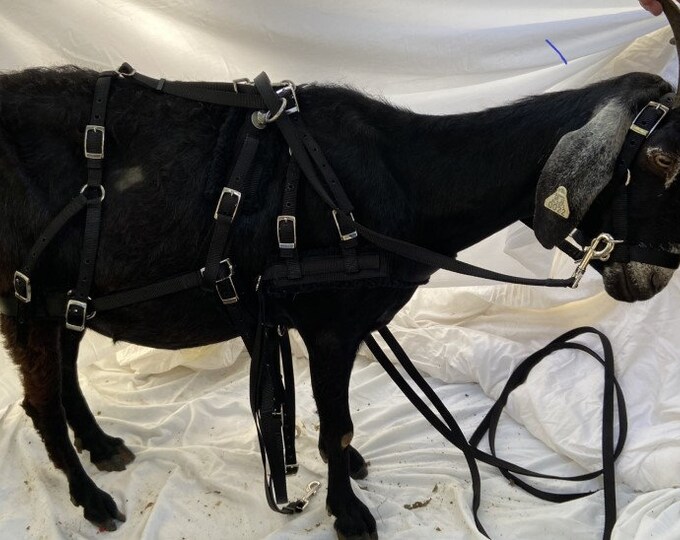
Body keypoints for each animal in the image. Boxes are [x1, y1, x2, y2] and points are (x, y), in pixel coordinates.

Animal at [3, 5, 680, 540]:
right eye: (663, 157)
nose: (658, 277)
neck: (402, 179)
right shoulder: (329, 327)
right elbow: (339, 429)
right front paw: (349, 512)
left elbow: (339, 426)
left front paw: (347, 482)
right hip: (22, 298)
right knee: (39, 401)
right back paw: (92, 498)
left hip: (70, 296)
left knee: (64, 373)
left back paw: (103, 448)